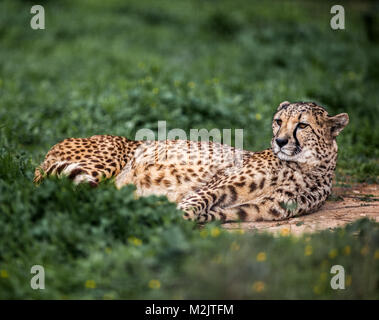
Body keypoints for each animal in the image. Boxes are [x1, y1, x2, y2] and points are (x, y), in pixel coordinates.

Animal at [34, 101, 348, 221]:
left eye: (302, 125)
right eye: (278, 121)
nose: (280, 141)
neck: (304, 167)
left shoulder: (253, 210)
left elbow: (207, 214)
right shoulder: (215, 185)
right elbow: (194, 204)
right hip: (105, 163)